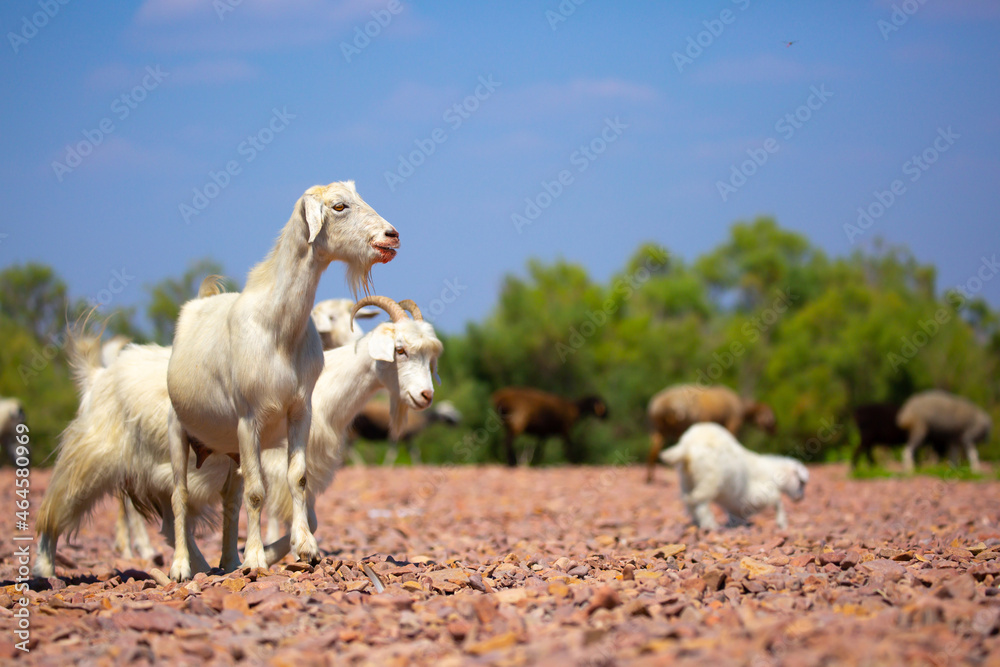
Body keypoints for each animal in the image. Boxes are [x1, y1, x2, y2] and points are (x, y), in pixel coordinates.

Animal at [34, 296, 442, 578]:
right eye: (400, 350)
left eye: (430, 356)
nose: (425, 396)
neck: (328, 385)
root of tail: (96, 375)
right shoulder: (274, 466)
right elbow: (294, 516)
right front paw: (271, 554)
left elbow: (309, 518)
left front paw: (277, 553)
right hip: (93, 455)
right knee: (58, 502)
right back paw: (44, 569)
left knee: (170, 516)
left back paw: (201, 564)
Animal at [165, 180, 399, 580]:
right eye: (339, 206)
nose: (392, 236)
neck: (277, 329)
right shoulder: (249, 419)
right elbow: (257, 492)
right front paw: (257, 560)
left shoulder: (300, 411)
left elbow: (298, 477)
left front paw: (306, 548)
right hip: (179, 429)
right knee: (179, 494)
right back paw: (182, 567)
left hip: (228, 447)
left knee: (229, 499)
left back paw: (228, 562)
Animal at [645, 384, 776, 483]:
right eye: (770, 415)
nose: (775, 430)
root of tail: (664, 404)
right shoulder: (733, 422)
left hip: (661, 428)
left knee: (655, 448)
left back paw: (650, 477)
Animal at [659, 422, 809, 530]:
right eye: (801, 482)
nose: (800, 498)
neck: (771, 471)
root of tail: (687, 446)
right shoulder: (758, 494)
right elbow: (778, 500)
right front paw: (782, 523)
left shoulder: (735, 501)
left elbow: (735, 513)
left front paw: (738, 523)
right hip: (709, 480)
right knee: (700, 502)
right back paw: (711, 525)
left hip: (687, 481)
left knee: (689, 501)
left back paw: (698, 522)